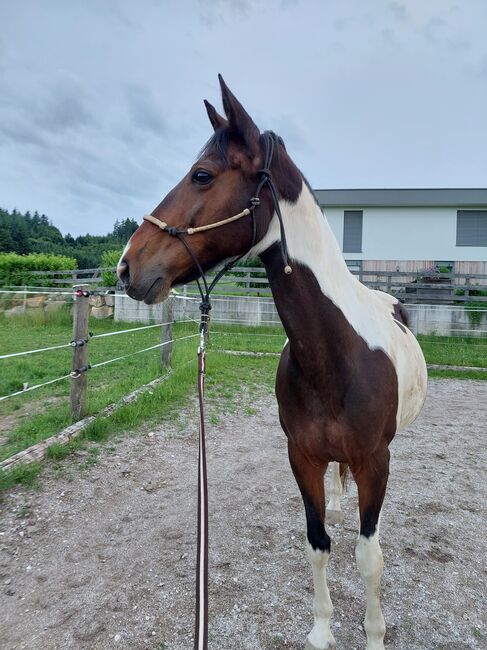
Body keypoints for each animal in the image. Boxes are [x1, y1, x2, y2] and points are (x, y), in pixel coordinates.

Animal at [117, 75, 428, 650]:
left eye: (202, 175)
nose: (128, 266)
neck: (333, 357)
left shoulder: (376, 462)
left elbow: (369, 556)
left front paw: (373, 633)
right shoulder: (301, 457)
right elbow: (317, 541)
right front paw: (322, 630)